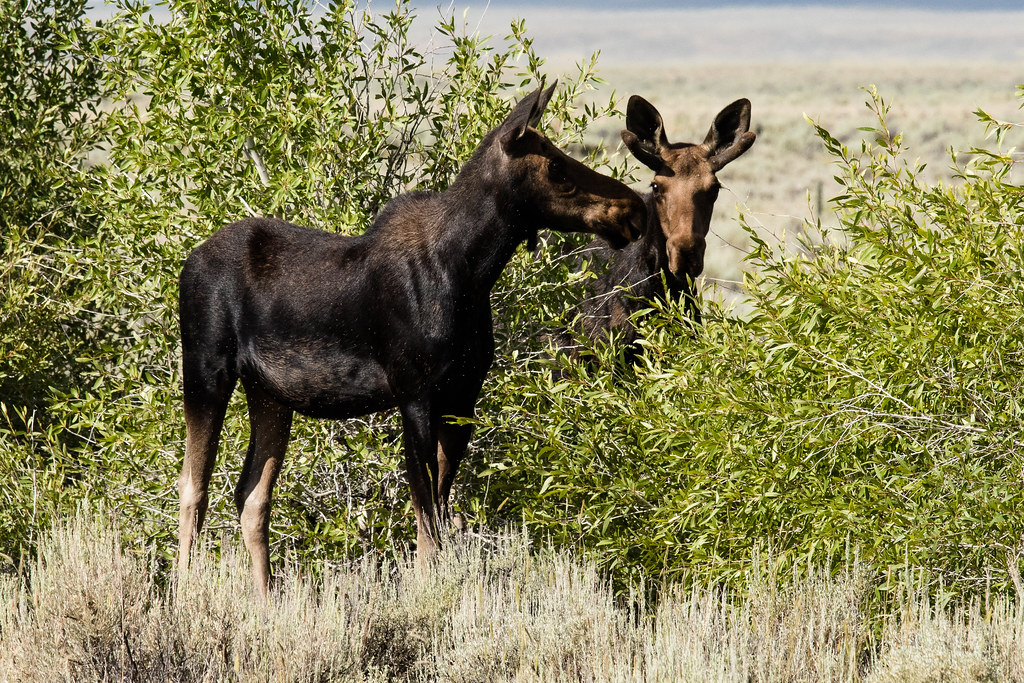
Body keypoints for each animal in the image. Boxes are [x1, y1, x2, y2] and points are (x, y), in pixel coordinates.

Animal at [176, 83, 646, 598]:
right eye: (556, 167)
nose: (633, 208)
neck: (473, 269)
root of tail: (187, 264)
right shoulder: (415, 392)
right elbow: (426, 517)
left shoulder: (462, 396)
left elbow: (437, 511)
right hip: (205, 370)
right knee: (193, 487)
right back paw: (183, 596)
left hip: (270, 394)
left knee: (252, 496)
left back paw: (265, 600)